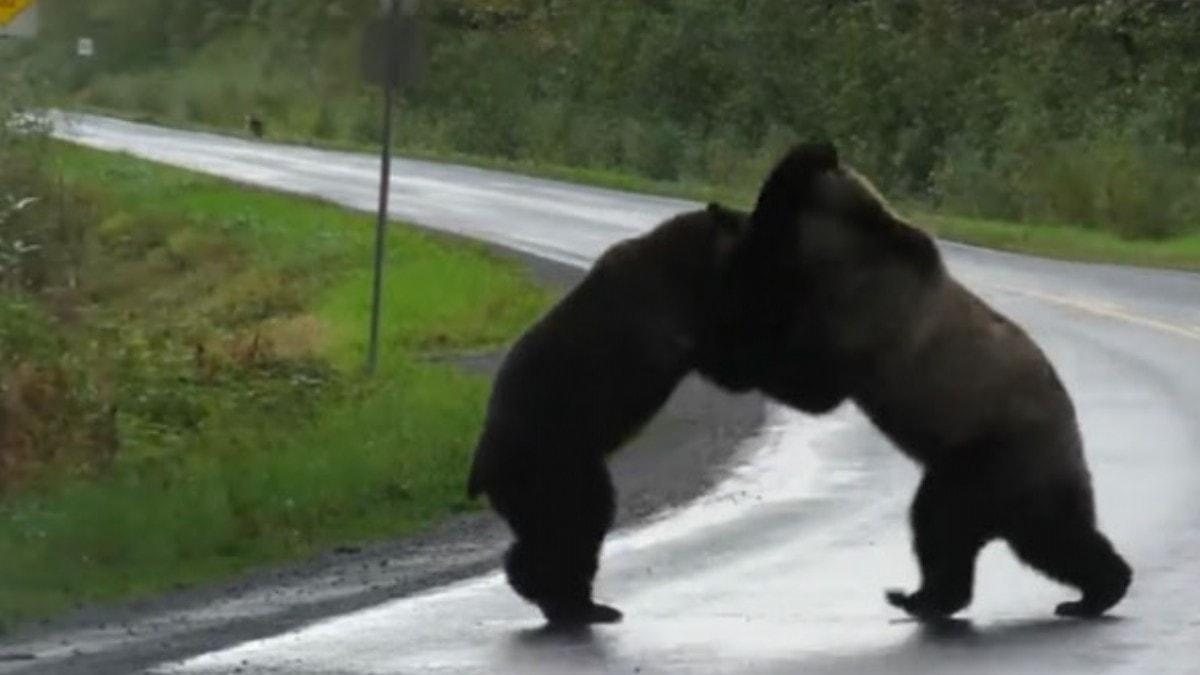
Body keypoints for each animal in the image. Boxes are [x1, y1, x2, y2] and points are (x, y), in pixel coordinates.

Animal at [729, 142, 1132, 619]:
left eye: (765, 207)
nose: (742, 223)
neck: (841, 252)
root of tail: (1072, 437)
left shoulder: (862, 315)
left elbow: (812, 383)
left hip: (993, 456)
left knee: (1010, 530)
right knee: (961, 529)